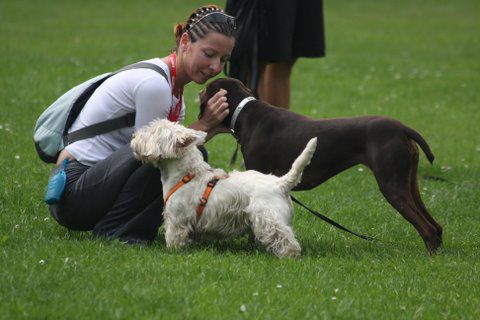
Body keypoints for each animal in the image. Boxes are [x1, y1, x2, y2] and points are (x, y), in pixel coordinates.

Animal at [132, 119, 318, 258]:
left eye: (153, 132)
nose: (134, 136)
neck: (185, 175)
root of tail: (280, 183)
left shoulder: (177, 218)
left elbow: (174, 237)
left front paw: (173, 252)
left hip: (268, 217)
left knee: (286, 239)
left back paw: (289, 256)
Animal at [199, 77, 442, 252]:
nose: (198, 92)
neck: (246, 114)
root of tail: (403, 128)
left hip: (392, 185)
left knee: (428, 229)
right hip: (408, 183)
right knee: (436, 227)